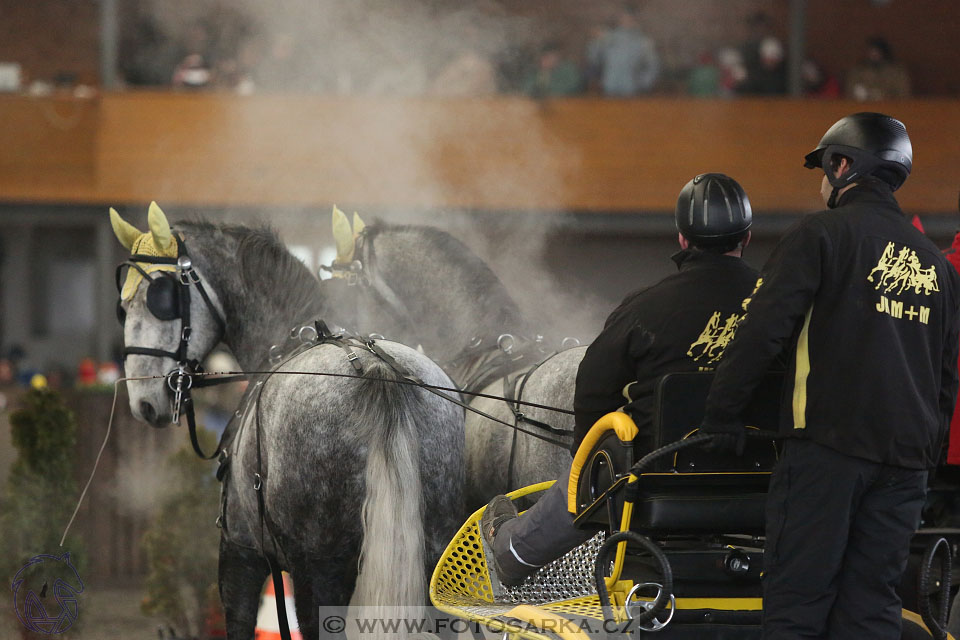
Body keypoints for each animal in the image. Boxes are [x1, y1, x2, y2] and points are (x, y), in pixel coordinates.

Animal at [112, 206, 464, 640]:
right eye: (123, 307)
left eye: (159, 299)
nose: (144, 401)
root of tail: (377, 372)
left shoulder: (240, 554)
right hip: (436, 556)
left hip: (318, 570)